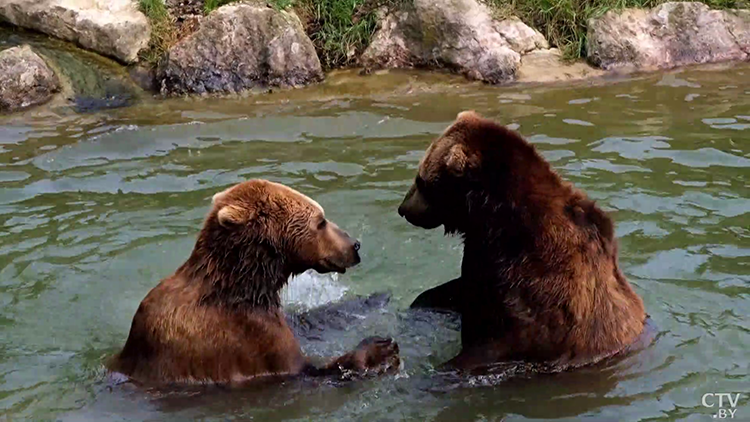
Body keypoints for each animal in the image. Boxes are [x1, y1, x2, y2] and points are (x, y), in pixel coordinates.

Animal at [110, 180, 400, 384]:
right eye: (321, 221)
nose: (354, 244)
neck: (244, 286)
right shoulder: (247, 336)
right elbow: (304, 370)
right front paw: (381, 350)